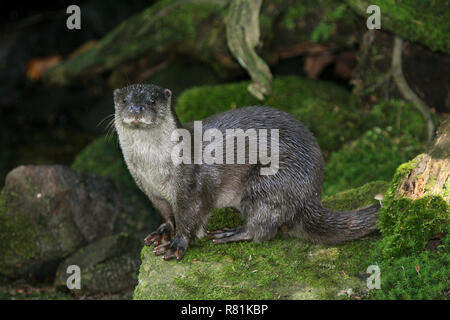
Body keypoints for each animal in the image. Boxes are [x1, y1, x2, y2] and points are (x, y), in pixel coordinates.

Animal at [113, 84, 380, 260]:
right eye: (124, 100)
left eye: (152, 100)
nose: (136, 107)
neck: (154, 170)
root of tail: (312, 194)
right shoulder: (150, 192)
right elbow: (167, 214)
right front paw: (163, 232)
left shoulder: (191, 185)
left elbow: (190, 216)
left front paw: (177, 244)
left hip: (272, 181)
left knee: (262, 228)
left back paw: (231, 232)